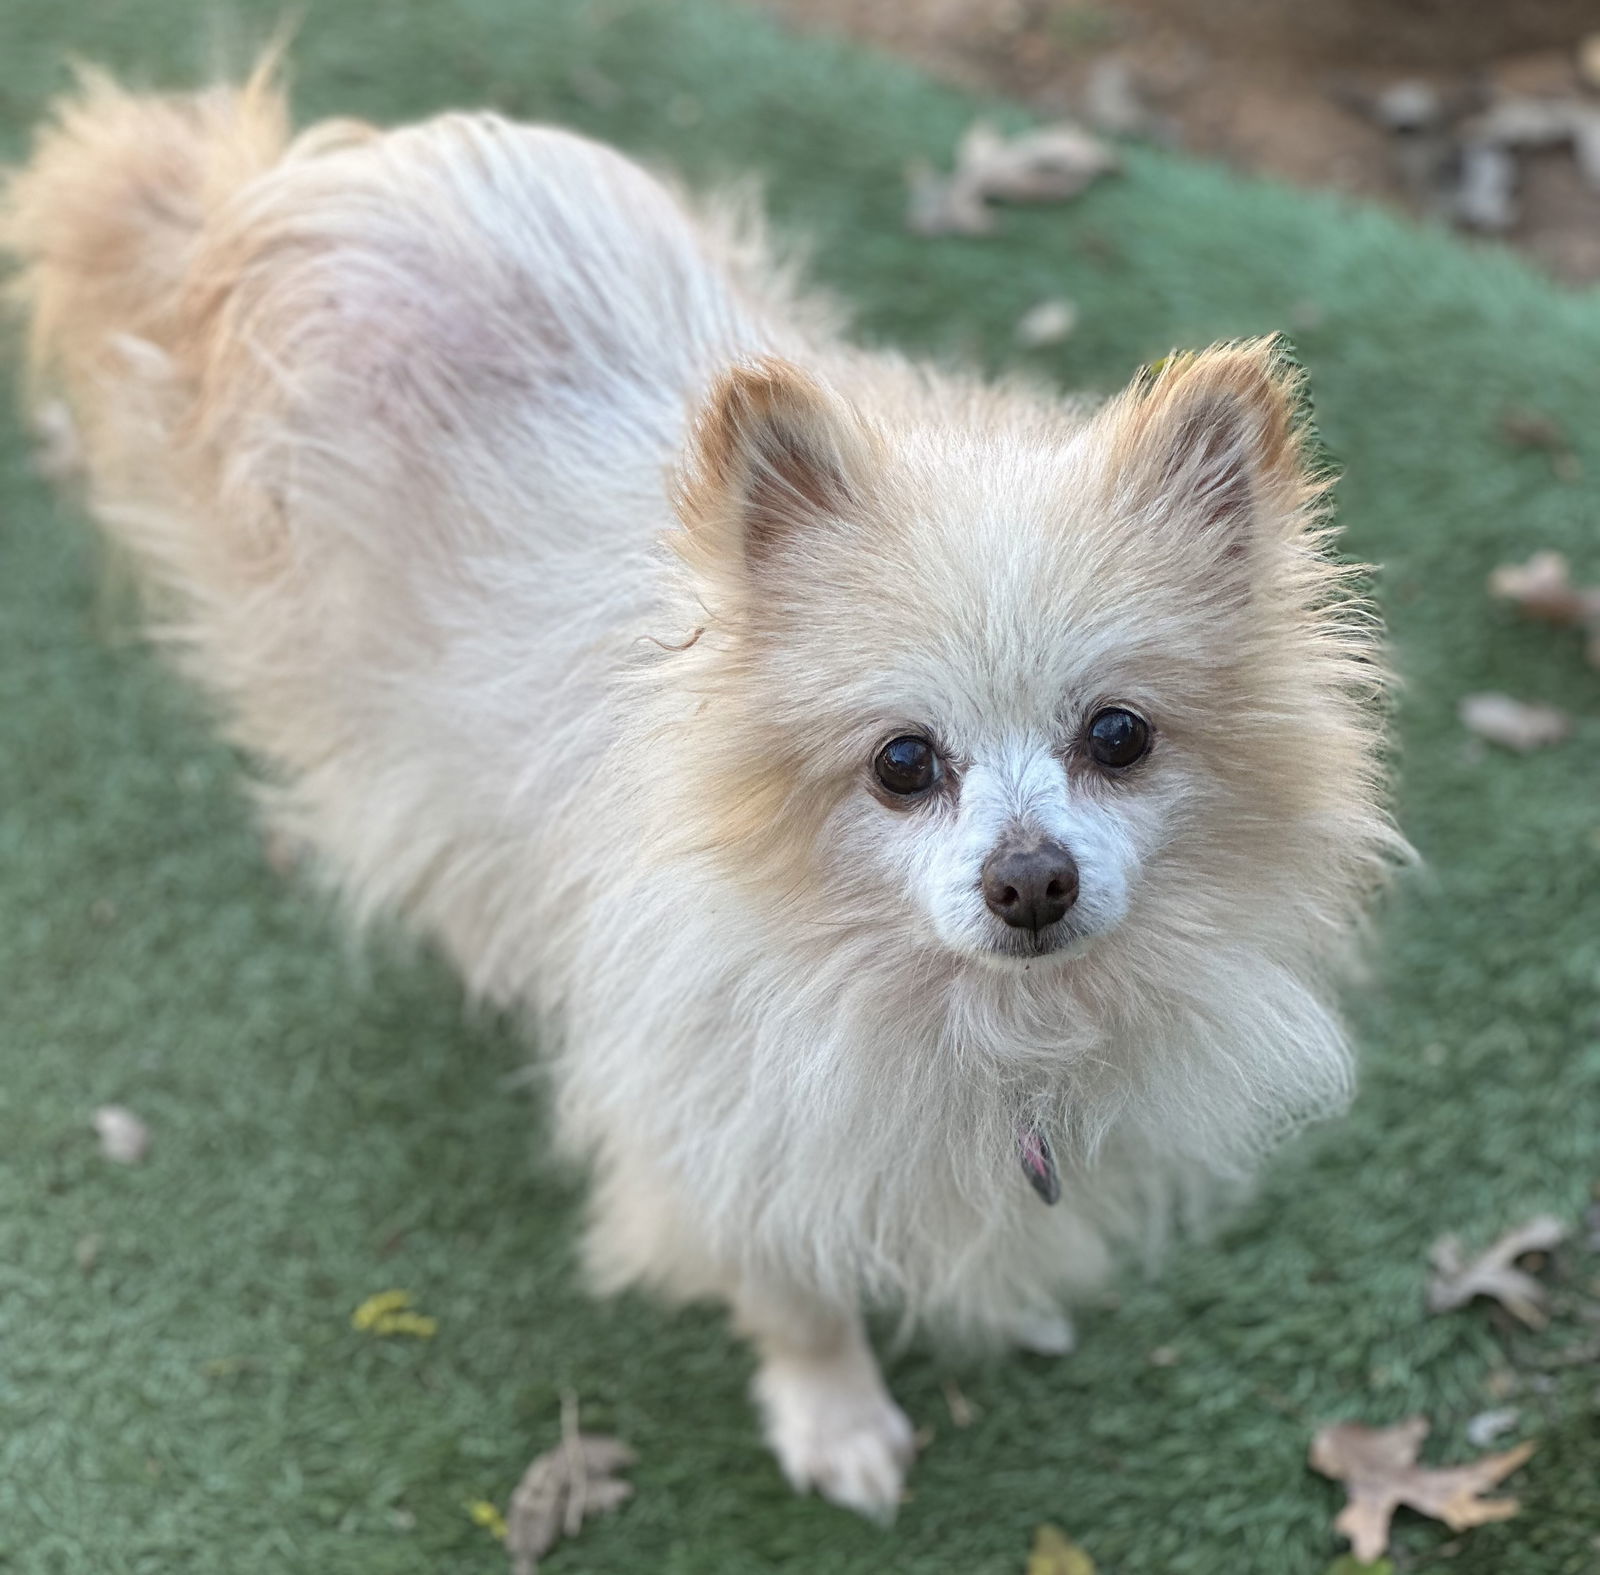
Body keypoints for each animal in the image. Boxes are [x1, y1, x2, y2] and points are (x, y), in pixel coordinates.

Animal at [6, 64, 1395, 1523]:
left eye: (1118, 734)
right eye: (903, 762)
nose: (1029, 881)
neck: (966, 1014)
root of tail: (274, 196)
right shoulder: (720, 1120)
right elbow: (794, 1292)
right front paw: (837, 1416)